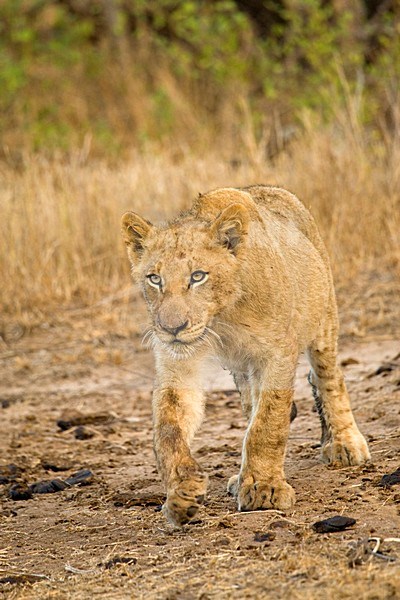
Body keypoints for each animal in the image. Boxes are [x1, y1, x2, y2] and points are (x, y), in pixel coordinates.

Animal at [120, 185, 370, 528]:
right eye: (154, 279)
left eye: (198, 276)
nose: (172, 328)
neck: (222, 318)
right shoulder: (178, 363)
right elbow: (168, 428)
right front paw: (182, 491)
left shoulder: (277, 353)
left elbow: (267, 423)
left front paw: (265, 489)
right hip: (244, 367)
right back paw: (239, 478)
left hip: (324, 318)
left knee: (329, 377)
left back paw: (345, 444)